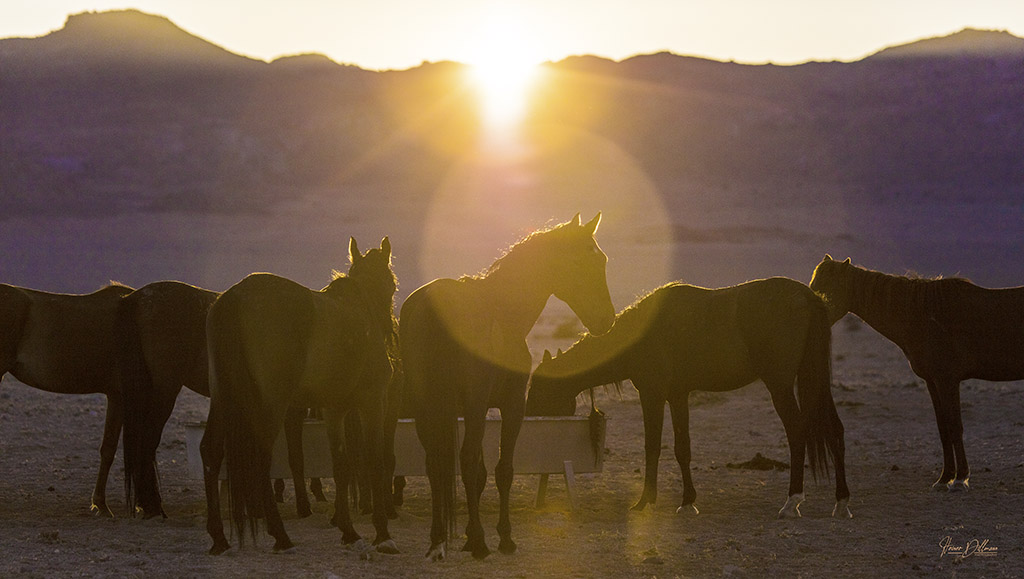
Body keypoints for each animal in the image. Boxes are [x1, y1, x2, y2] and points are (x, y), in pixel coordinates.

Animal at [119, 281, 326, 520]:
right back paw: (153, 505)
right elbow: (295, 455)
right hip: (165, 390)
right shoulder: (292, 408)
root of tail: (137, 298)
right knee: (147, 441)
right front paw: (302, 503)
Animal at [201, 237, 398, 556]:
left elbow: (341, 465)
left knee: (210, 452)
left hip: (222, 400)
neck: (360, 308)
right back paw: (280, 535)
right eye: (391, 284)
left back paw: (219, 537)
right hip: (269, 407)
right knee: (260, 460)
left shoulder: (334, 409)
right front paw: (382, 533)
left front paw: (348, 530)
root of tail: (234, 298)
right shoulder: (372, 403)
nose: (389, 330)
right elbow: (373, 461)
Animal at [400, 213, 615, 561]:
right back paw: (478, 541)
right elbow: (502, 470)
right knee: (465, 460)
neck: (503, 310)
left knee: (435, 464)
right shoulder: (510, 405)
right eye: (585, 261)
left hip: (428, 408)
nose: (606, 320)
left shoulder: (475, 411)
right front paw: (503, 537)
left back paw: (437, 539)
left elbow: (481, 473)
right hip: (470, 406)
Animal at [526, 277, 852, 519]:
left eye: (538, 387)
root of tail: (808, 296)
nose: (527, 418)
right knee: (835, 429)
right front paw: (687, 501)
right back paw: (841, 501)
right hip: (814, 381)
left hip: (780, 386)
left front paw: (645, 500)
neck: (642, 333)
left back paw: (792, 501)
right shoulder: (678, 395)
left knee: (797, 432)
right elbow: (682, 448)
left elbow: (653, 446)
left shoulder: (652, 394)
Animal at [810, 255, 1024, 492]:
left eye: (827, 287)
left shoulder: (947, 381)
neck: (924, 316)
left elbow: (955, 426)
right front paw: (944, 478)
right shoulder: (932, 381)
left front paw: (960, 479)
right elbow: (943, 428)